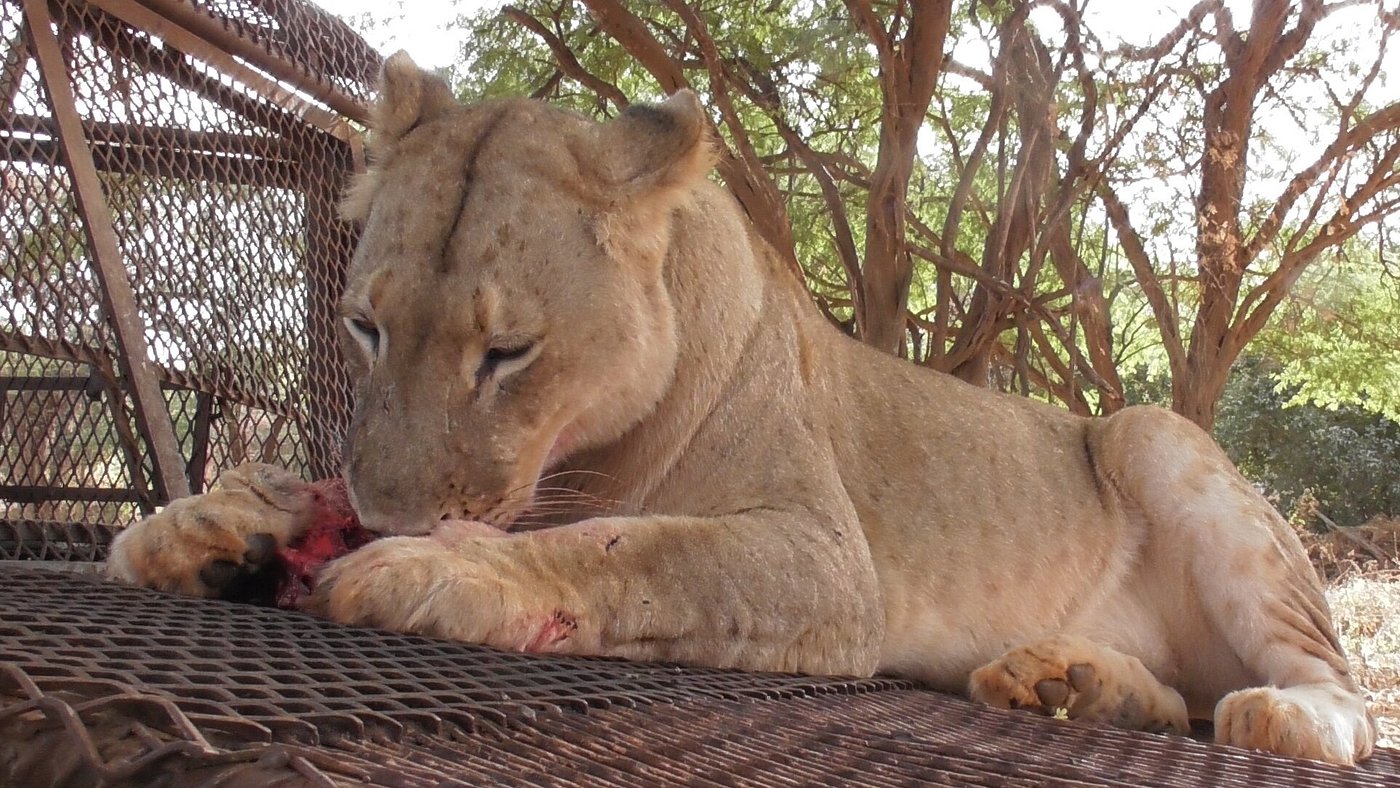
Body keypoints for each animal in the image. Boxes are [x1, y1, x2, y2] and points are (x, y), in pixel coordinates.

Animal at [108, 52, 1376, 766]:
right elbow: (283, 480)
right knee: (1173, 700)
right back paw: (1064, 684)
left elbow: (633, 547)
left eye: (506, 352)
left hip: (1150, 432)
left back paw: (1278, 720)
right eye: (365, 327)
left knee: (1342, 697)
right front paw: (205, 523)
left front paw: (439, 566)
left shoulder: (825, 560)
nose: (387, 516)